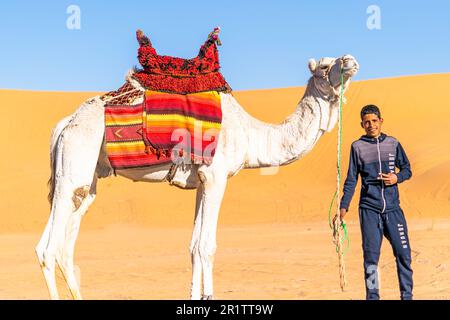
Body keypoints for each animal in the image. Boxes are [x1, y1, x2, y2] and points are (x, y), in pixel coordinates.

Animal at [35, 53, 358, 300]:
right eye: (325, 66)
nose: (351, 60)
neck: (250, 134)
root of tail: (66, 123)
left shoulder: (202, 182)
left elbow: (193, 246)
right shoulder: (217, 176)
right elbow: (207, 246)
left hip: (86, 180)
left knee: (61, 245)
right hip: (75, 162)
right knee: (49, 249)